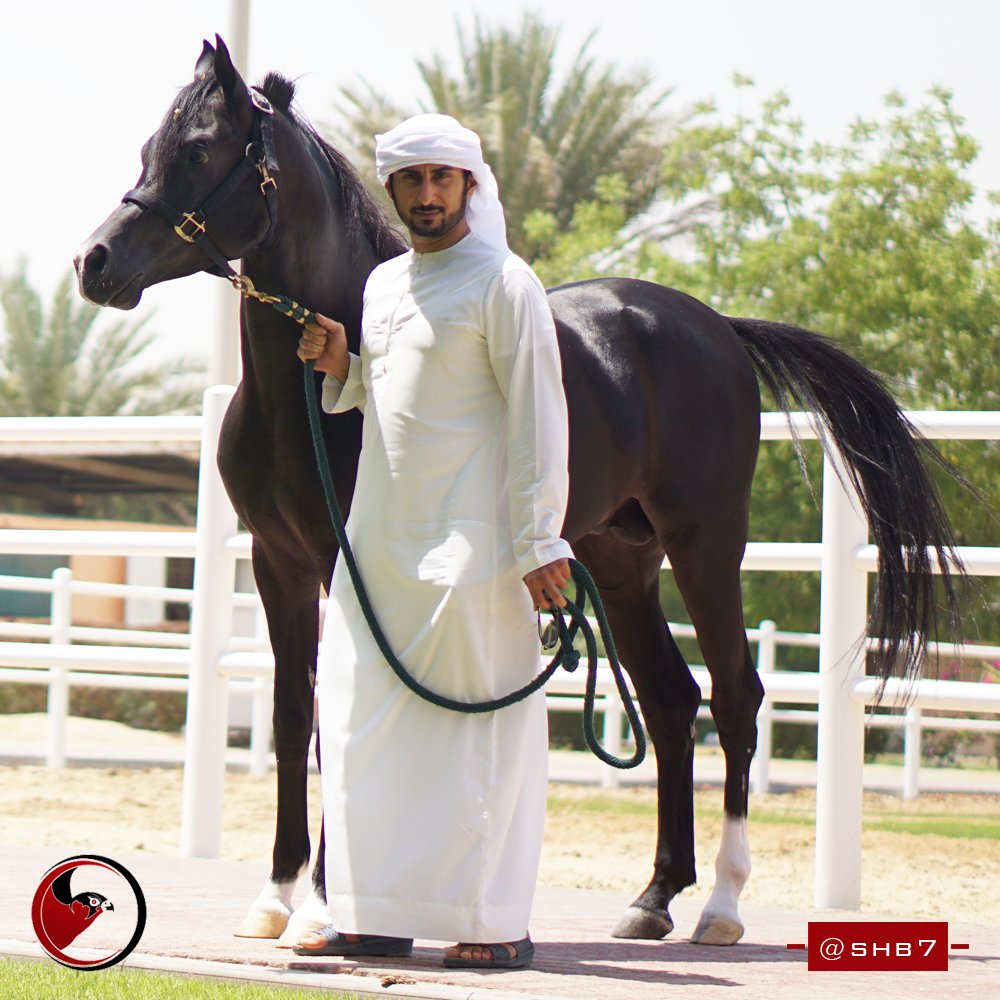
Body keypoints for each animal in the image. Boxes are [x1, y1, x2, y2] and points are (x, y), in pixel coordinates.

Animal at [75, 36, 966, 947]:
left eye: (197, 151)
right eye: (150, 147)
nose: (94, 262)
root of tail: (718, 328)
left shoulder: (338, 563)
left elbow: (335, 719)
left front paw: (323, 908)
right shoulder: (276, 562)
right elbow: (293, 717)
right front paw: (276, 896)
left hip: (707, 547)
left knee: (736, 698)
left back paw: (720, 905)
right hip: (619, 560)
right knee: (670, 702)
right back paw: (654, 898)